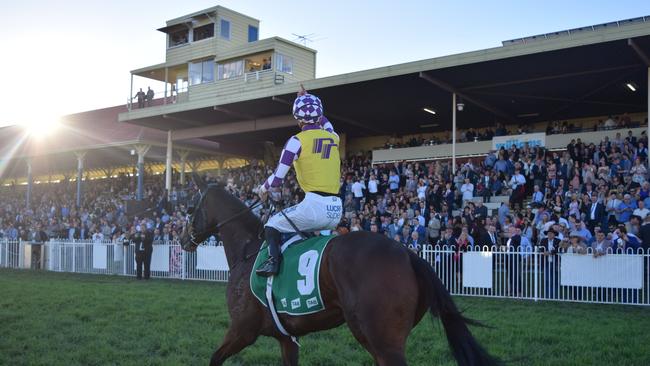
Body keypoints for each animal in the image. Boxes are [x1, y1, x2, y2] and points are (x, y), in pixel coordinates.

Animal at [180, 175, 498, 366]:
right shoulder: (287, 337)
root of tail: (406, 252)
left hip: (381, 339)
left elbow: (215, 358)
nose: (183, 240)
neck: (250, 249)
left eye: (189, 209)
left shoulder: (242, 329)